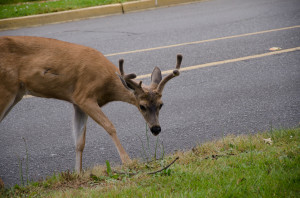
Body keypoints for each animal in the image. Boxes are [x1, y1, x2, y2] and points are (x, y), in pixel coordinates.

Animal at [0, 35, 183, 173]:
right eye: (142, 106)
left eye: (161, 104)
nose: (156, 129)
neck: (107, 86)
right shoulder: (84, 96)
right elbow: (110, 126)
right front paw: (128, 161)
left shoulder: (77, 103)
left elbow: (79, 142)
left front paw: (78, 174)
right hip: (6, 88)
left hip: (17, 93)